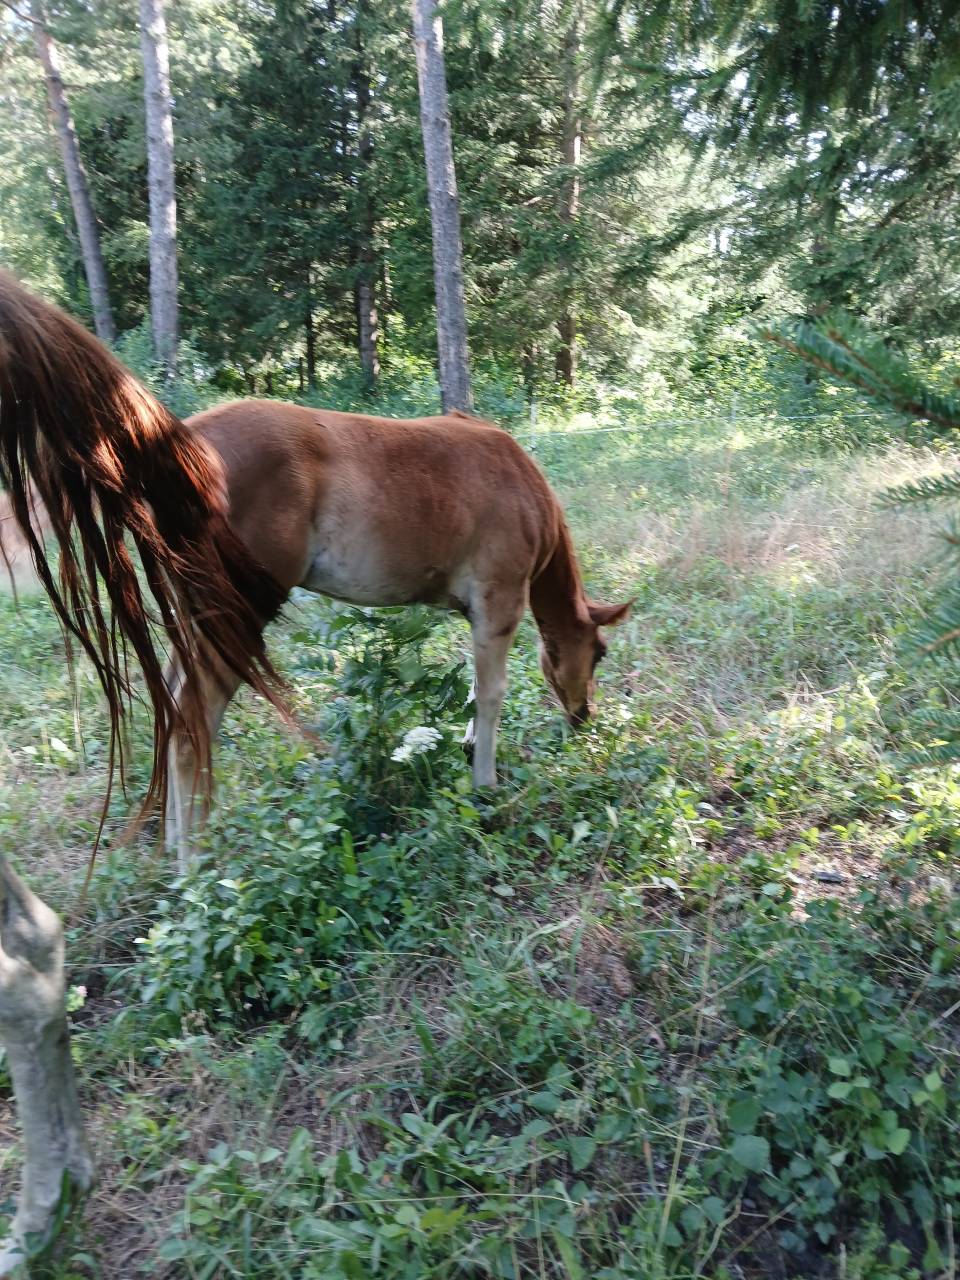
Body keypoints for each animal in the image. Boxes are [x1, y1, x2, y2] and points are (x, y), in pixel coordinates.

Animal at [0, 271, 630, 867]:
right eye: (599, 653)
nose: (585, 716)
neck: (523, 487)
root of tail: (175, 442)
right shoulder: (500, 602)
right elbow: (492, 693)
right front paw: (485, 785)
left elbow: (476, 689)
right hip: (238, 617)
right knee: (191, 723)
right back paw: (193, 864)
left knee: (175, 712)